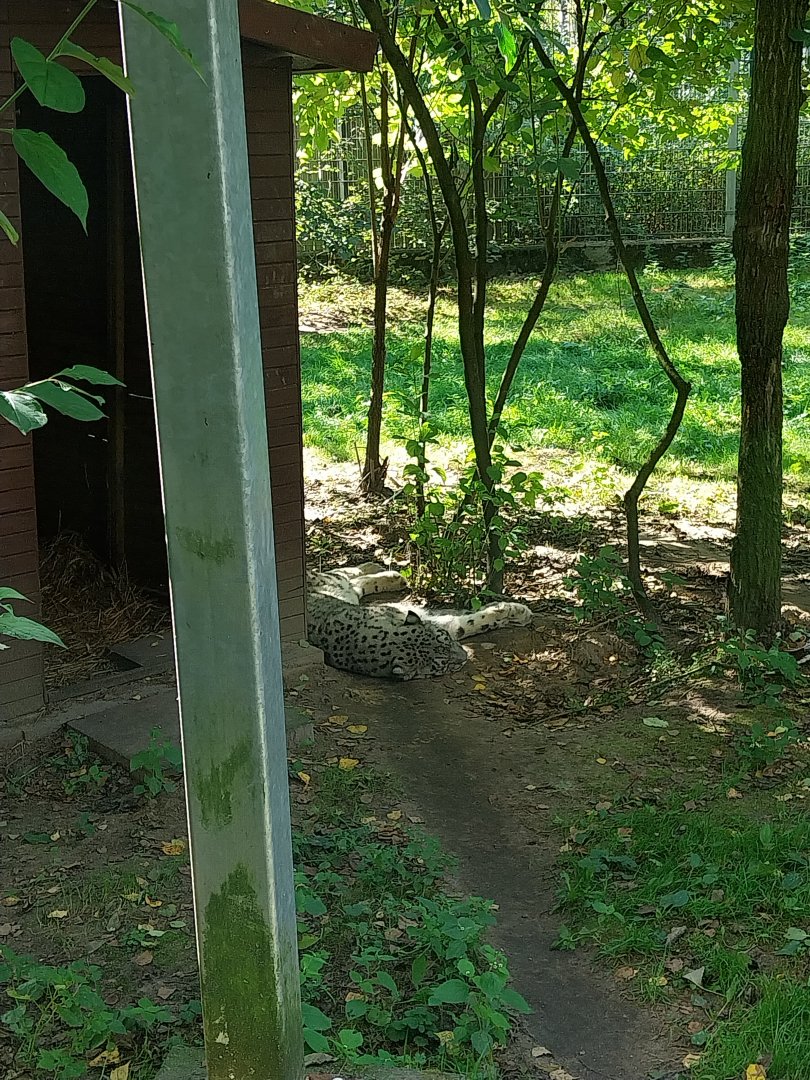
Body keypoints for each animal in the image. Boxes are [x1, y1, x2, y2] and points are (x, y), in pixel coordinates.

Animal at [306, 562, 532, 680]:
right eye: (441, 664)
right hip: (338, 585)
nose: (464, 657)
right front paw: (516, 611)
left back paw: (387, 572)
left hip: (337, 584)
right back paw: (391, 575)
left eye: (444, 638)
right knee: (349, 579)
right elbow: (467, 623)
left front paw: (513, 610)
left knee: (348, 574)